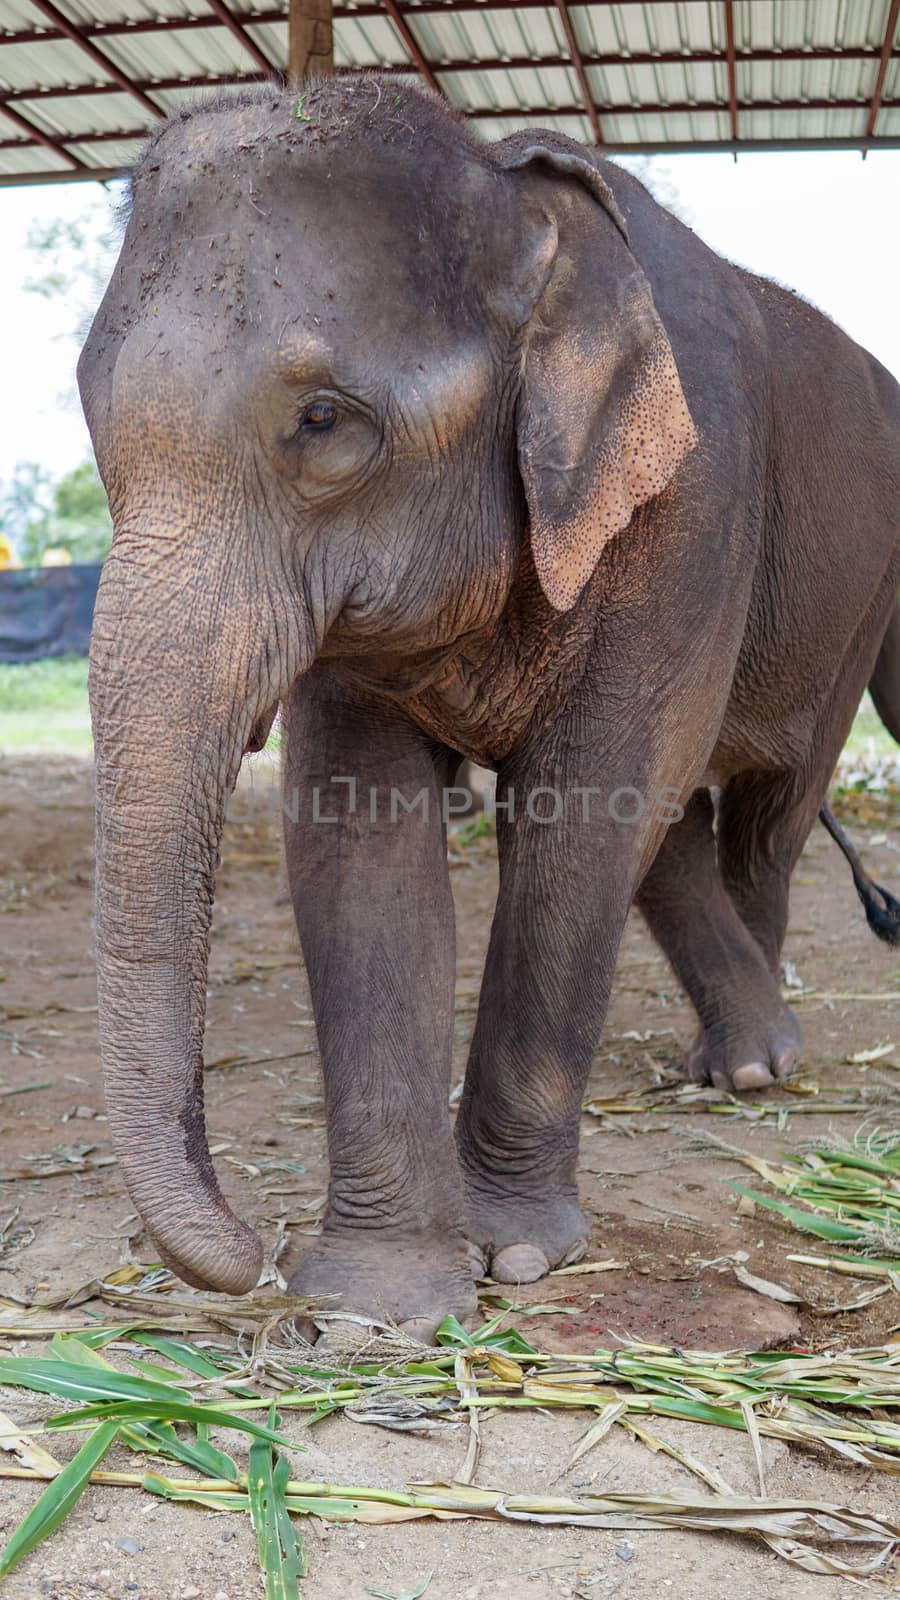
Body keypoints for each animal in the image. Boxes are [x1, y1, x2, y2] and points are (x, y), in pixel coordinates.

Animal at [80, 75, 896, 1331]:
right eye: (88, 409)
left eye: (323, 421)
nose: (250, 1250)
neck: (515, 199)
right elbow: (357, 839)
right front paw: (378, 1302)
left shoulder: (690, 502)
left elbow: (584, 811)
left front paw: (512, 1253)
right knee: (685, 825)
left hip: (847, 600)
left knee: (769, 810)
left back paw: (753, 1066)